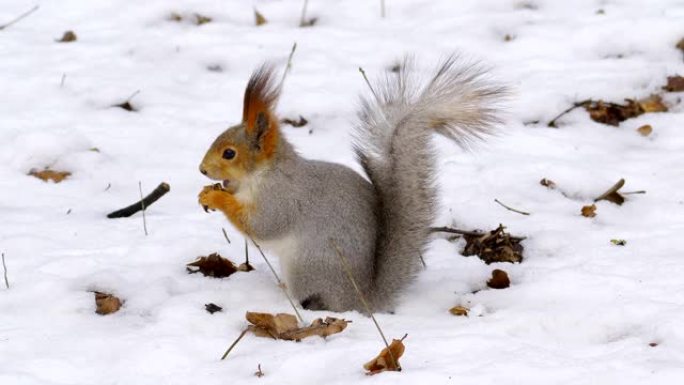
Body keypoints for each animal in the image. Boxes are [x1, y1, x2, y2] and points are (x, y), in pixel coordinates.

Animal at [198, 57, 502, 312]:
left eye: (229, 153)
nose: (202, 170)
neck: (261, 175)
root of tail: (362, 298)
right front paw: (209, 193)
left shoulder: (283, 199)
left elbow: (262, 226)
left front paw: (217, 199)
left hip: (308, 265)